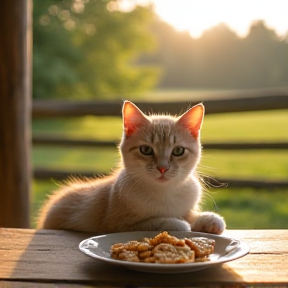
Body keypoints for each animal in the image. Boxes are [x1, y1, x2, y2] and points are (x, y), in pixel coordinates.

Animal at [36, 100, 225, 234]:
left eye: (178, 151)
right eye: (146, 150)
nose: (162, 168)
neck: (164, 192)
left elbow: (190, 214)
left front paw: (209, 219)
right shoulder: (117, 225)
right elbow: (157, 222)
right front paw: (178, 223)